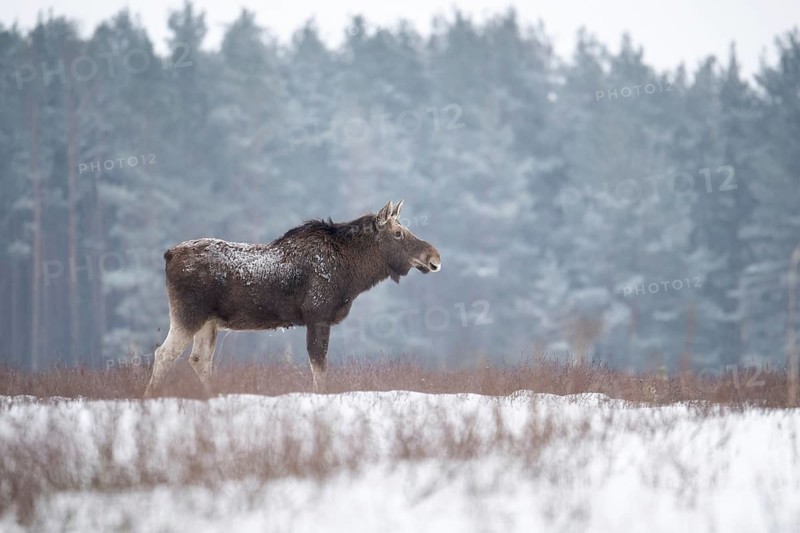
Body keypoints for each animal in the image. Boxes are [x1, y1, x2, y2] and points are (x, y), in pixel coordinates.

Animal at [143, 200, 441, 397]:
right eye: (398, 233)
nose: (434, 257)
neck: (353, 275)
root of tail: (168, 255)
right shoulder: (318, 316)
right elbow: (319, 367)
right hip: (188, 314)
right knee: (164, 353)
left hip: (209, 322)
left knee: (199, 360)